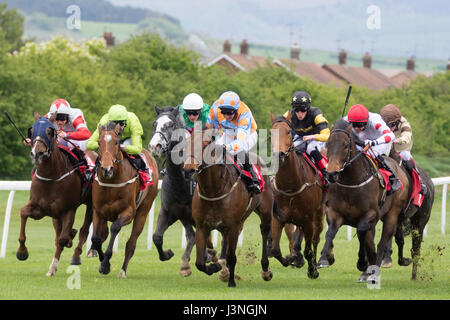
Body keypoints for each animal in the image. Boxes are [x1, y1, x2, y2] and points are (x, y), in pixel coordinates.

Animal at [90, 122, 159, 278]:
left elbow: (115, 228)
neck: (111, 182)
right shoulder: (97, 211)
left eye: (116, 142)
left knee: (131, 243)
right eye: (99, 142)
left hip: (143, 212)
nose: (106, 169)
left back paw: (122, 270)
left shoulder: (128, 212)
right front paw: (102, 262)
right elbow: (96, 238)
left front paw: (105, 263)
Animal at [148, 106, 216, 276]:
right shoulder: (172, 211)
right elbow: (157, 237)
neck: (180, 183)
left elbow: (198, 239)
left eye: (171, 124)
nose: (154, 146)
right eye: (154, 124)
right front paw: (167, 254)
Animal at [184, 127, 274, 288]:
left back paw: (265, 269)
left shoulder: (233, 226)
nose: (188, 170)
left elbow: (232, 257)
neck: (214, 191)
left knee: (264, 231)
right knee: (225, 240)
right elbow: (199, 262)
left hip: (264, 212)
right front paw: (215, 266)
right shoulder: (202, 226)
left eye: (205, 145)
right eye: (186, 144)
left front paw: (231, 281)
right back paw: (223, 268)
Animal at [268, 114, 326, 278]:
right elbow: (275, 250)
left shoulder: (308, 220)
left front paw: (312, 270)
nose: (279, 154)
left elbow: (308, 250)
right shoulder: (278, 217)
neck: (290, 186)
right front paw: (291, 258)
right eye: (271, 133)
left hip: (319, 215)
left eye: (288, 132)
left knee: (315, 240)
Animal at [320, 119, 412, 282]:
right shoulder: (334, 212)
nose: (331, 174)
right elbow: (330, 232)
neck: (351, 183)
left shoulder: (370, 214)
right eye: (328, 144)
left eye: (345, 145)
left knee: (382, 242)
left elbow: (362, 231)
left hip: (392, 215)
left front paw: (362, 262)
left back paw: (374, 268)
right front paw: (324, 258)